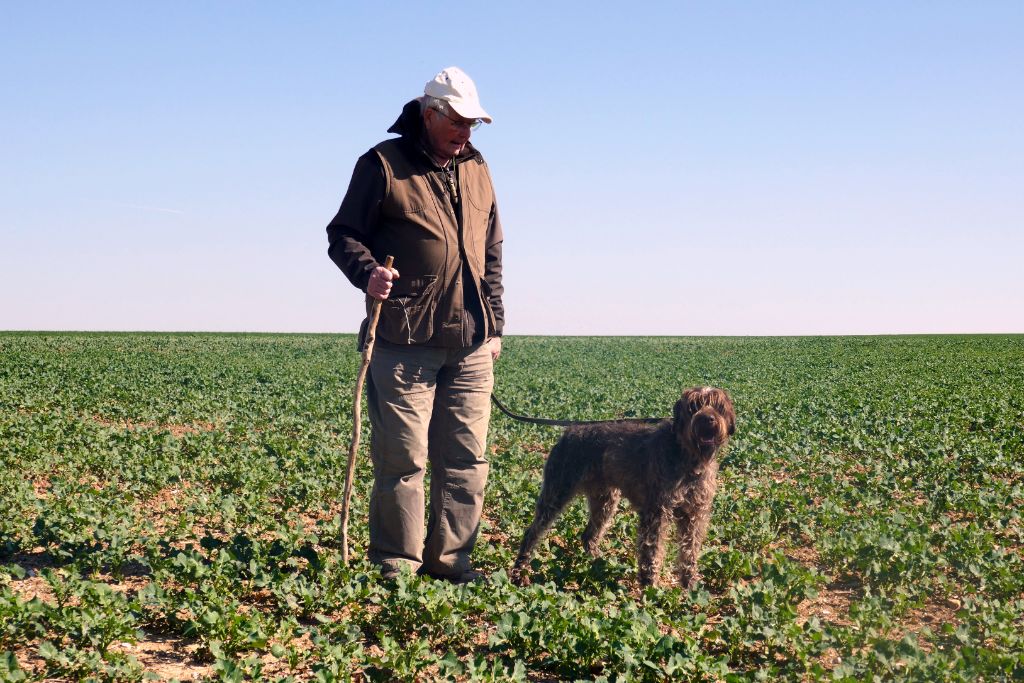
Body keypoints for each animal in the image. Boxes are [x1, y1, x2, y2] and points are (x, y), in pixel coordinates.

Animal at [512, 387, 737, 589]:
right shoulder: (656, 513)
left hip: (605, 500)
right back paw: (518, 572)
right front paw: (650, 587)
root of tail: (569, 432)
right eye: (694, 407)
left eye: (718, 406)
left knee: (589, 535)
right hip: (556, 492)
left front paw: (690, 585)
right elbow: (652, 551)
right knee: (532, 532)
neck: (688, 457)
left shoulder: (694, 515)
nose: (708, 419)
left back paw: (600, 564)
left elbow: (689, 551)